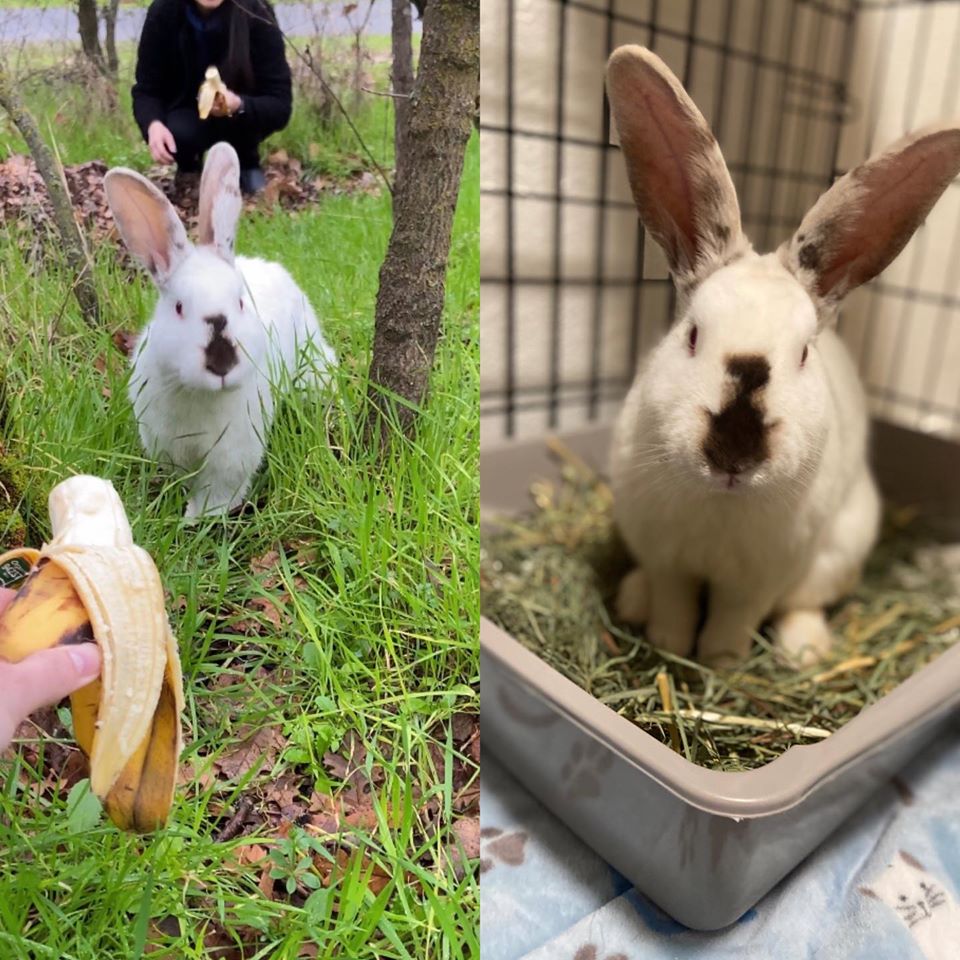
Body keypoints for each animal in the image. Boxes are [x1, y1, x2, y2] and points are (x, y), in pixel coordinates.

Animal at [103, 142, 336, 519]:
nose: (222, 363)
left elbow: (219, 491)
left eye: (241, 302)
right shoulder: (166, 442)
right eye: (179, 307)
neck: (200, 396)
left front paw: (199, 518)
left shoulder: (233, 455)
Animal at [605, 46, 960, 665]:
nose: (734, 450)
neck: (721, 505)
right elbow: (674, 604)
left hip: (835, 557)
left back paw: (805, 650)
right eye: (692, 334)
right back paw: (633, 599)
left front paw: (718, 664)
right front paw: (669, 647)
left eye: (802, 354)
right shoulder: (667, 557)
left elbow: (733, 622)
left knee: (802, 604)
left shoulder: (759, 581)